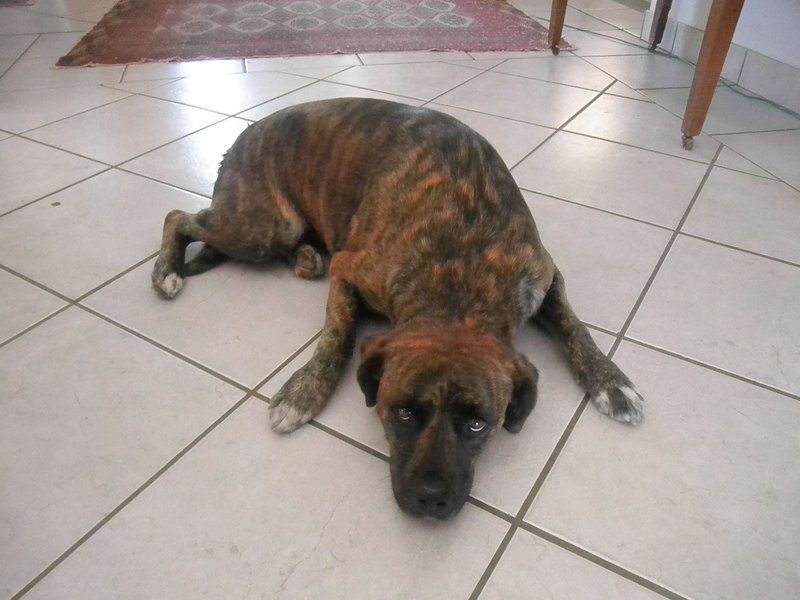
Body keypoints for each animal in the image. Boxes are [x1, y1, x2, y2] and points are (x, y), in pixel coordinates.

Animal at [153, 98, 644, 520]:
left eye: (478, 424)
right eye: (401, 413)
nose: (431, 498)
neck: (459, 282)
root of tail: (244, 134)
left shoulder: (546, 277)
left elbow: (575, 328)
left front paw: (611, 381)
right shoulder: (349, 270)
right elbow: (336, 337)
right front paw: (304, 391)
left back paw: (304, 256)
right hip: (265, 225)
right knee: (178, 215)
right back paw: (166, 270)